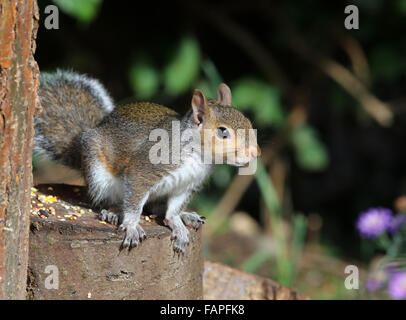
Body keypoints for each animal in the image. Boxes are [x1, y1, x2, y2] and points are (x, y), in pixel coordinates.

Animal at [35, 70, 260, 252]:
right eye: (223, 131)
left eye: (249, 122)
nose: (255, 153)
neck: (199, 156)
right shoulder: (144, 170)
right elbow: (135, 202)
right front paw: (132, 226)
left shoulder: (186, 186)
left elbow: (172, 211)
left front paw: (177, 223)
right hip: (98, 175)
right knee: (106, 200)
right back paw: (112, 212)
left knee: (156, 208)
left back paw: (186, 216)